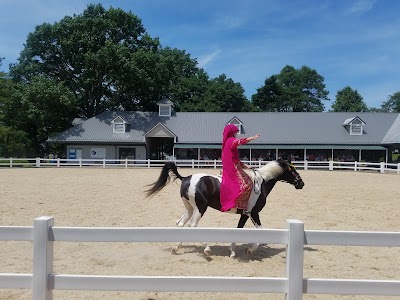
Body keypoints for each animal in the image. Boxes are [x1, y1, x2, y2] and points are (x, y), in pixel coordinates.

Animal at [145, 159, 304, 258]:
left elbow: (239, 230)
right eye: (293, 170)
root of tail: (186, 178)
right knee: (192, 226)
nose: (301, 183)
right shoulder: (253, 213)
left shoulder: (245, 214)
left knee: (180, 224)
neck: (261, 183)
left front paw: (232, 252)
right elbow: (261, 231)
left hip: (189, 208)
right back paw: (206, 249)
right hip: (200, 208)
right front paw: (249, 249)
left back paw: (176, 248)